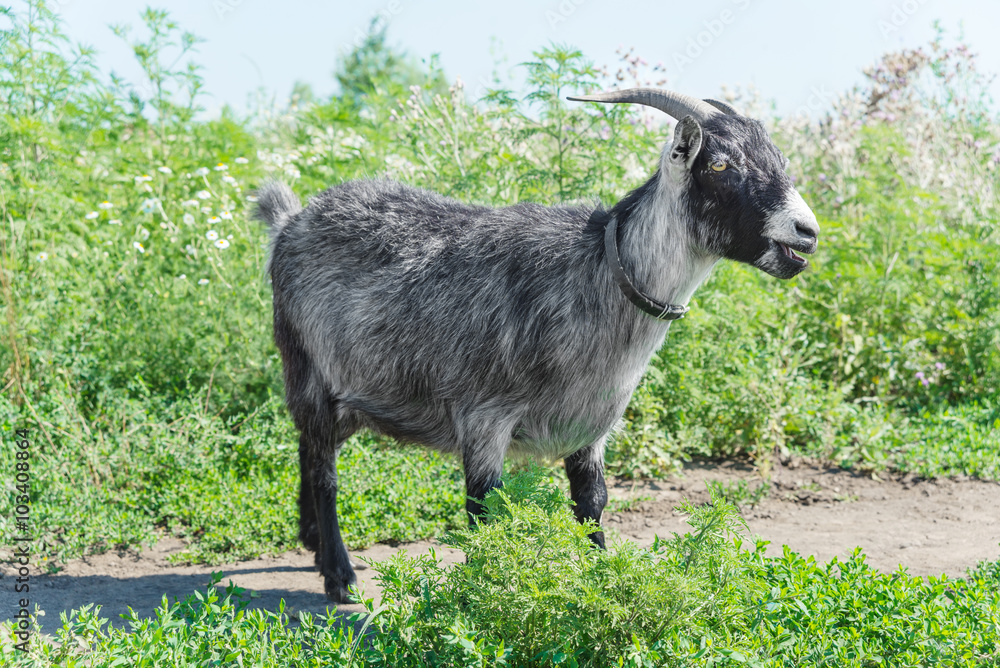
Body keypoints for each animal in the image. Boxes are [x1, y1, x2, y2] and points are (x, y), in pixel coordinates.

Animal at [256, 88, 820, 602]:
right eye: (721, 164)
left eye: (778, 158)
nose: (807, 232)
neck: (595, 272)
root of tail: (289, 221)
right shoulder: (483, 417)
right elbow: (485, 510)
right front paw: (484, 598)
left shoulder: (590, 425)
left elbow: (591, 502)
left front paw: (601, 584)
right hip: (305, 365)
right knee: (324, 471)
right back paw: (339, 575)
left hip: (356, 392)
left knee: (309, 448)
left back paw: (312, 543)